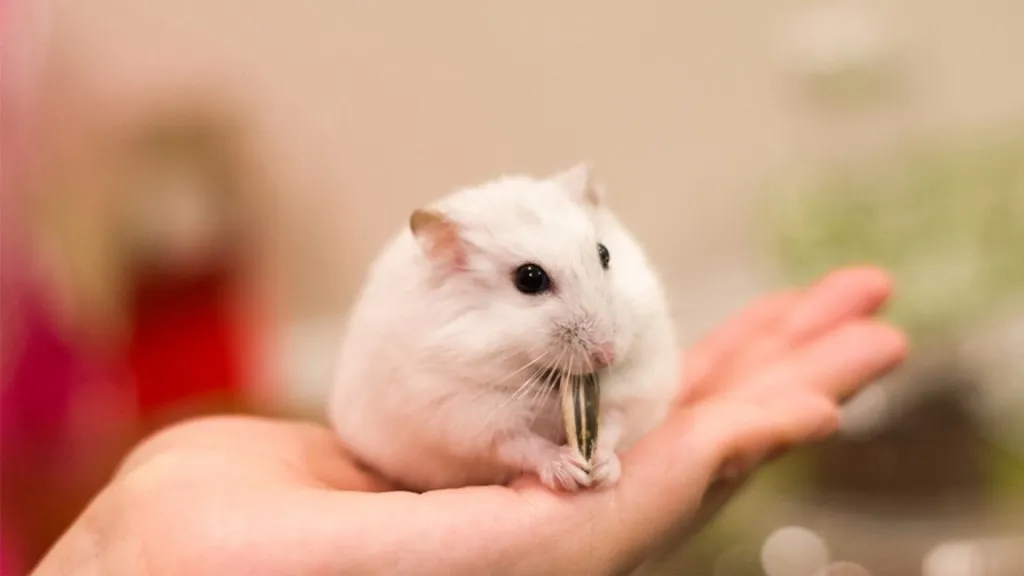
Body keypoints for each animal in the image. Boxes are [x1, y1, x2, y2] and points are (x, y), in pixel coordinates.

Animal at [328, 163, 680, 492]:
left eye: (604, 253)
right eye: (529, 279)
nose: (608, 355)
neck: (548, 380)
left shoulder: (634, 391)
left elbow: (612, 425)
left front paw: (604, 471)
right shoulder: (474, 420)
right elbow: (522, 445)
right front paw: (570, 470)